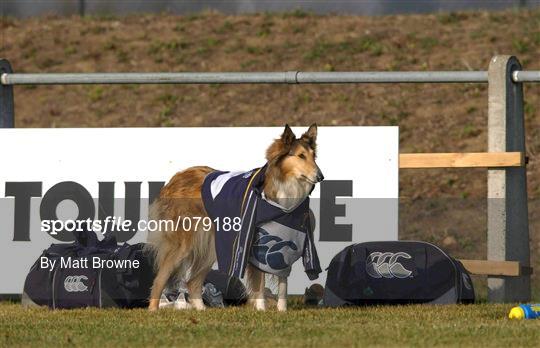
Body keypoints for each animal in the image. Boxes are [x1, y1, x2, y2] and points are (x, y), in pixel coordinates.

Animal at [146, 123, 322, 312]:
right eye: (301, 156)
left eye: (313, 156)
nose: (321, 176)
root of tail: (174, 179)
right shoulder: (256, 245)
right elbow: (260, 284)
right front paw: (261, 311)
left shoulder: (286, 243)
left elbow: (283, 285)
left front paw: (282, 312)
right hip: (183, 244)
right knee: (160, 278)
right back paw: (154, 311)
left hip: (213, 245)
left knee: (193, 282)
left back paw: (201, 310)